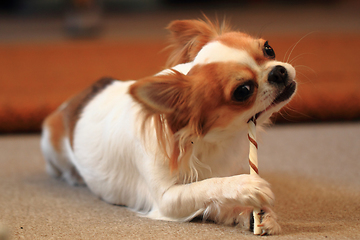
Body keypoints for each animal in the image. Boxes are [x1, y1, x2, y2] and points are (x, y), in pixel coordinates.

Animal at [41, 17, 296, 235]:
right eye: (243, 91)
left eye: (269, 49)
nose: (278, 71)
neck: (214, 140)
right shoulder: (167, 199)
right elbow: (208, 186)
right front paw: (246, 186)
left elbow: (216, 200)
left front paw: (259, 216)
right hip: (51, 146)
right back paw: (74, 176)